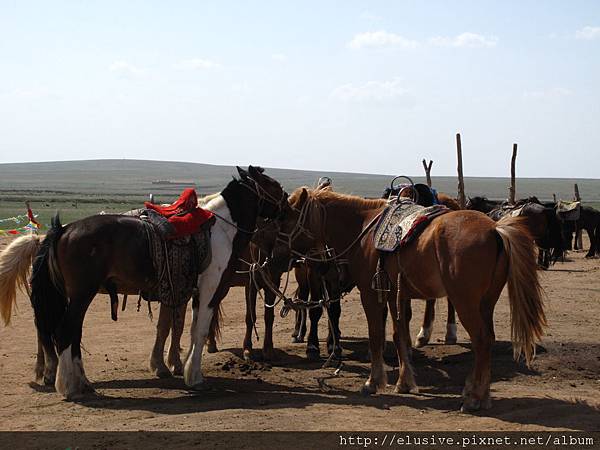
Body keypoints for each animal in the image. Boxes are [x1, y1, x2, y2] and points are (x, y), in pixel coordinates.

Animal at [278, 186, 548, 412]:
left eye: (286, 218)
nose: (278, 255)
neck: (363, 227)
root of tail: (495, 230)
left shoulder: (370, 294)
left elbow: (376, 336)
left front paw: (373, 382)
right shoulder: (392, 294)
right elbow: (398, 335)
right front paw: (404, 382)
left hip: (465, 302)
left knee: (481, 340)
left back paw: (473, 399)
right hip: (486, 302)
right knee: (488, 339)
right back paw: (479, 393)